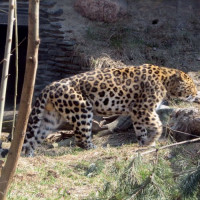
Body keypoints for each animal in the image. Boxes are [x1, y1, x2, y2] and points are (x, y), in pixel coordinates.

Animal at [0, 64, 197, 158]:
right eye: (191, 86)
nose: (196, 94)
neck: (166, 80)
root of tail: (50, 86)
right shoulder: (143, 108)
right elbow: (157, 124)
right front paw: (153, 138)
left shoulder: (137, 112)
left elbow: (140, 128)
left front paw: (144, 142)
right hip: (82, 109)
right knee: (80, 139)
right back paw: (93, 148)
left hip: (51, 118)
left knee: (33, 137)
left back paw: (28, 156)